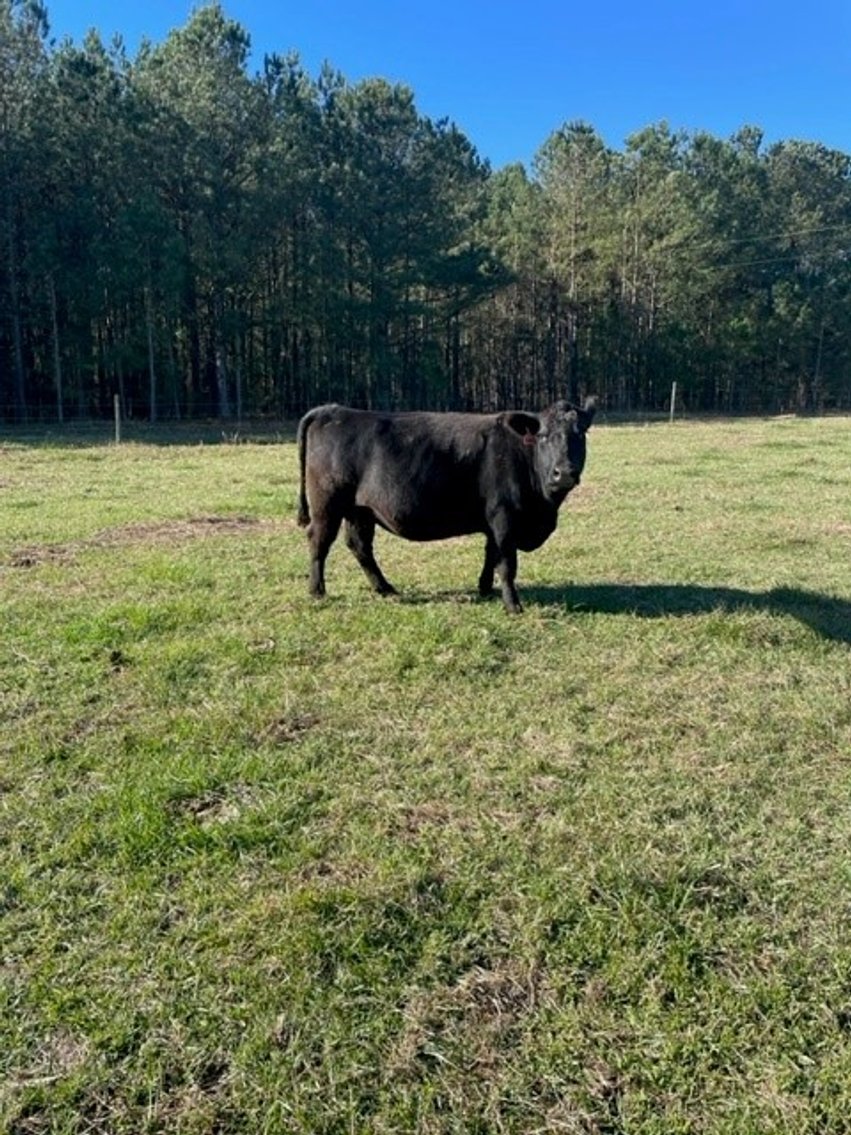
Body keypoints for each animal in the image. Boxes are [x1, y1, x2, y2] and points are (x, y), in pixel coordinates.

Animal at [296, 397, 596, 613]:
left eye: (580, 434)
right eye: (543, 436)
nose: (563, 473)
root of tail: (332, 410)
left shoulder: (493, 523)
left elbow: (491, 555)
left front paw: (485, 589)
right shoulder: (504, 518)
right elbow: (507, 563)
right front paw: (513, 606)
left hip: (360, 511)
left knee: (359, 546)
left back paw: (385, 588)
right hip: (327, 506)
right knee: (319, 542)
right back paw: (317, 591)